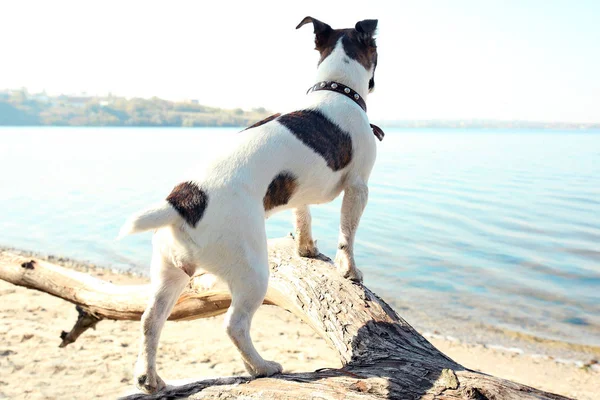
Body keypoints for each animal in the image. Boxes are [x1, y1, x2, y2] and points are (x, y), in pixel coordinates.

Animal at [118, 16, 380, 394]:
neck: (335, 89)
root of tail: (182, 201)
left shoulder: (299, 193)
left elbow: (303, 218)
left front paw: (307, 250)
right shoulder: (358, 187)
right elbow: (348, 234)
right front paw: (350, 271)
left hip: (169, 273)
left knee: (150, 320)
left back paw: (150, 379)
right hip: (253, 272)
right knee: (234, 324)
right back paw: (261, 366)